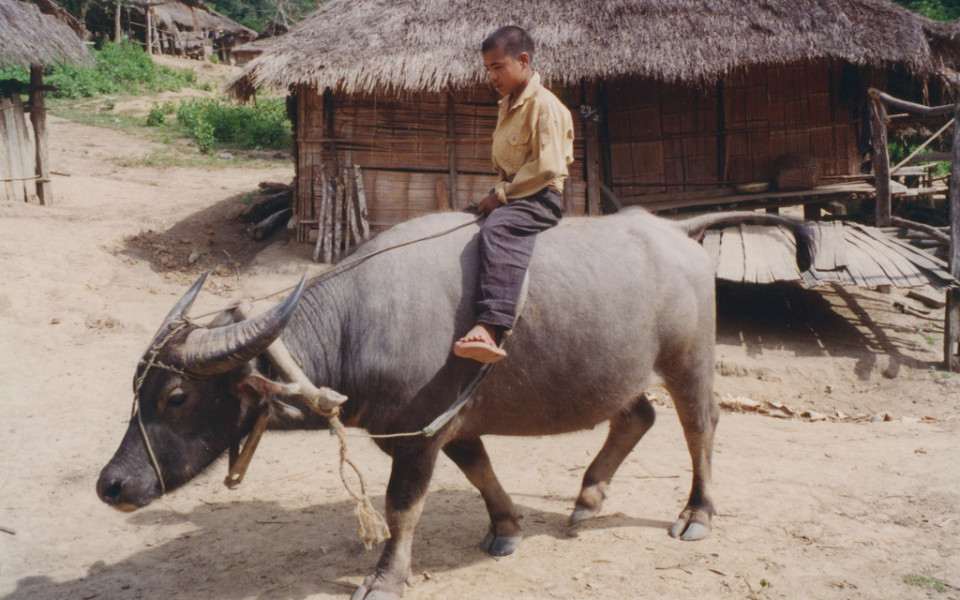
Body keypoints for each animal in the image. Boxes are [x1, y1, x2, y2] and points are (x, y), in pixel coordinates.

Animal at [97, 207, 812, 600]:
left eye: (177, 395)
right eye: (136, 390)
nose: (113, 485)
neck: (358, 322)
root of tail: (673, 230)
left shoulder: (415, 434)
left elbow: (400, 507)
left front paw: (385, 579)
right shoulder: (449, 423)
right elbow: (478, 469)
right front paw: (507, 527)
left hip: (690, 359)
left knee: (699, 424)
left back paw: (696, 513)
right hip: (618, 370)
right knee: (639, 414)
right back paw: (586, 499)